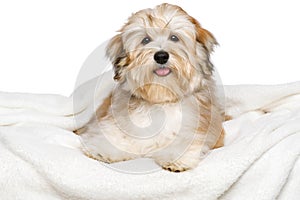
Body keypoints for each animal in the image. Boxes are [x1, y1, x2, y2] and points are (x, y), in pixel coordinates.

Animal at [78, 3, 224, 172]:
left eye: (174, 38)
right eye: (146, 40)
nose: (161, 56)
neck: (160, 99)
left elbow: (188, 139)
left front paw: (178, 159)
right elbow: (112, 133)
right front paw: (103, 149)